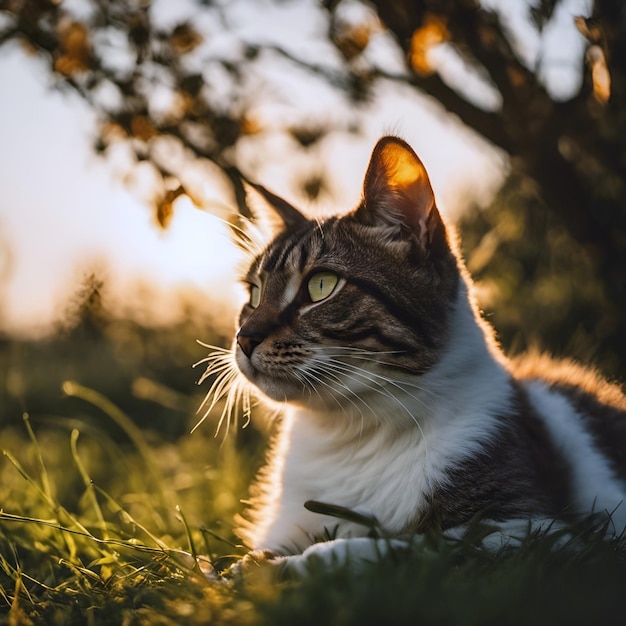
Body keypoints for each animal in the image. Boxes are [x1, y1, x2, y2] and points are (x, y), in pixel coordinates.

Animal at [197, 135, 624, 572]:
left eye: (321, 285)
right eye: (253, 294)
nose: (244, 338)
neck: (349, 434)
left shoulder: (534, 529)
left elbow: (396, 546)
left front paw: (287, 568)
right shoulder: (287, 525)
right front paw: (229, 571)